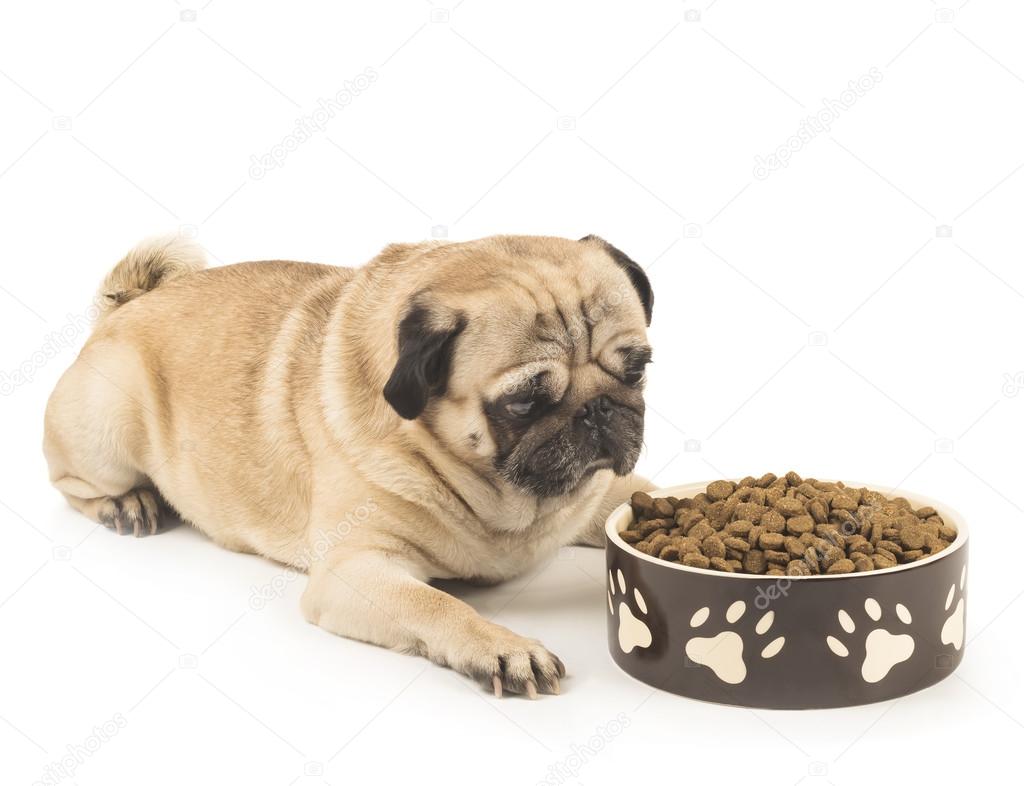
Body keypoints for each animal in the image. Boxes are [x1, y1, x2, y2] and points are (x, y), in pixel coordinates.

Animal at [44, 231, 651, 695]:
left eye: (637, 370)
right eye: (524, 402)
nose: (599, 409)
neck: (508, 501)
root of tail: (126, 307)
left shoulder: (602, 493)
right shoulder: (354, 569)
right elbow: (435, 606)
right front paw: (501, 647)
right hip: (108, 421)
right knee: (72, 483)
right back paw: (127, 502)